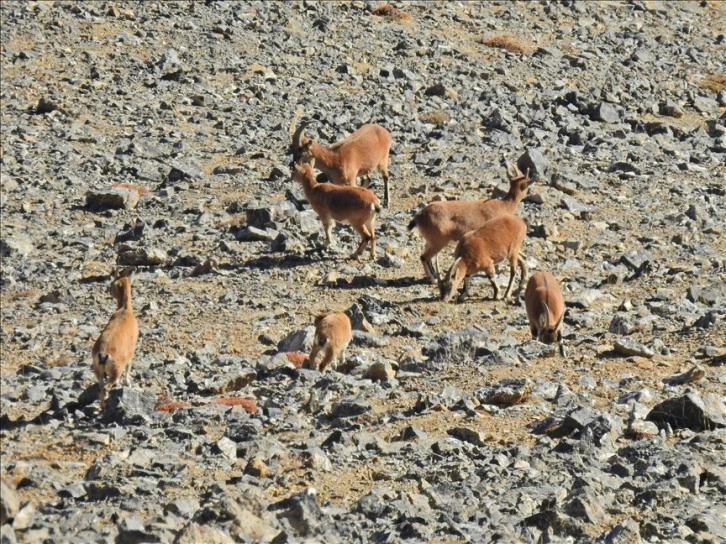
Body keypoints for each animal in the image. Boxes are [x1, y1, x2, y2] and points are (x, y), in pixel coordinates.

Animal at [91, 268, 140, 408]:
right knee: (106, 387)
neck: (124, 310)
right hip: (116, 369)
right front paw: (128, 382)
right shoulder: (131, 351)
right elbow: (129, 367)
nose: (108, 291)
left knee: (101, 386)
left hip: (97, 369)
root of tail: (103, 354)